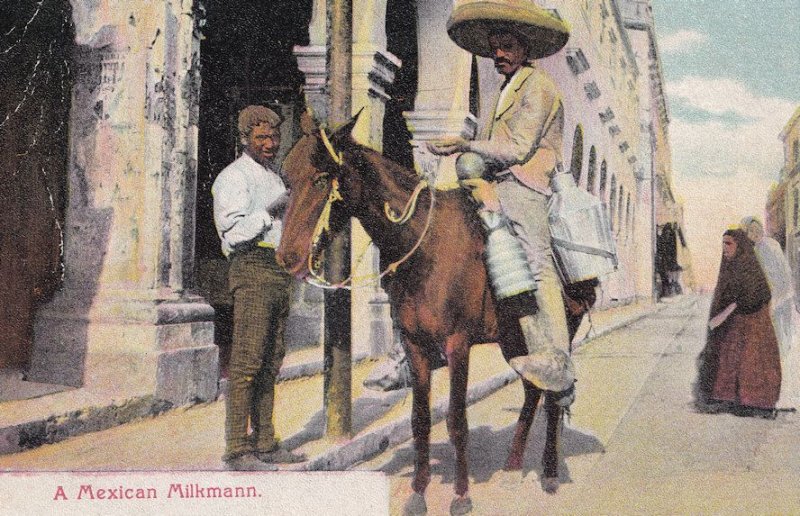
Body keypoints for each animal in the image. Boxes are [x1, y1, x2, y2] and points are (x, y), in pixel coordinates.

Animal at [278, 112, 564, 512]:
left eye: (321, 178)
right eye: (287, 177)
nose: (287, 257)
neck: (424, 245)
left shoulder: (457, 344)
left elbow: (457, 420)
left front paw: (460, 495)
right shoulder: (416, 345)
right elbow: (420, 419)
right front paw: (417, 492)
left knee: (553, 393)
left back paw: (549, 473)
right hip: (514, 339)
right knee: (533, 389)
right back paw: (512, 466)